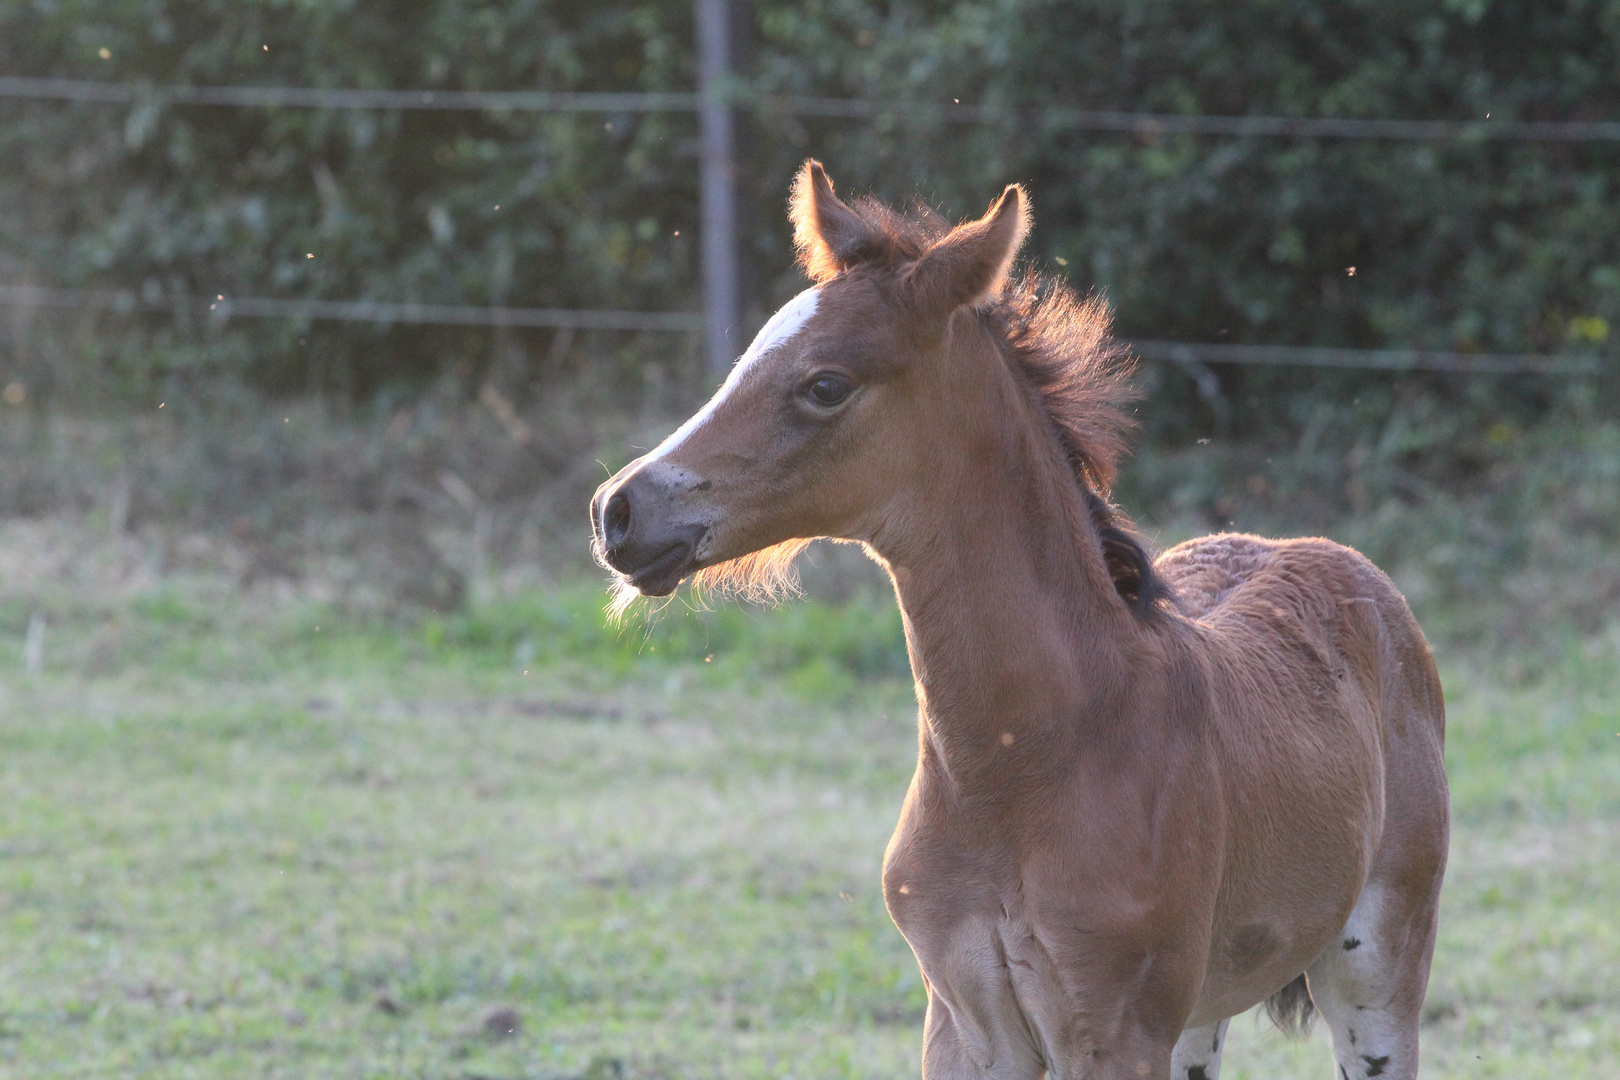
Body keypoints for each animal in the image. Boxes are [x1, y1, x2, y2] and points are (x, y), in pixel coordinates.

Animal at [589, 162, 1451, 1080]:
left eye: (825, 384)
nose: (619, 510)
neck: (1017, 764)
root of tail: (1336, 560)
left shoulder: (1110, 1029)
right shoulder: (965, 1021)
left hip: (1377, 962)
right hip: (1197, 1016)